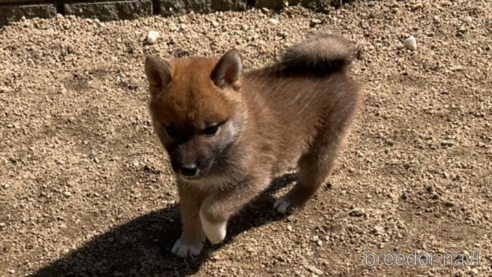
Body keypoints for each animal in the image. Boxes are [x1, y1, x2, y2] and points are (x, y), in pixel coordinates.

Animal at [144, 34, 360, 256]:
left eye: (211, 129)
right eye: (170, 130)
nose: (187, 169)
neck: (232, 140)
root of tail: (337, 70)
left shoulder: (253, 178)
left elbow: (211, 209)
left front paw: (215, 233)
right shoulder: (189, 185)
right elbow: (189, 214)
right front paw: (189, 241)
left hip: (320, 147)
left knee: (315, 176)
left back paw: (292, 200)